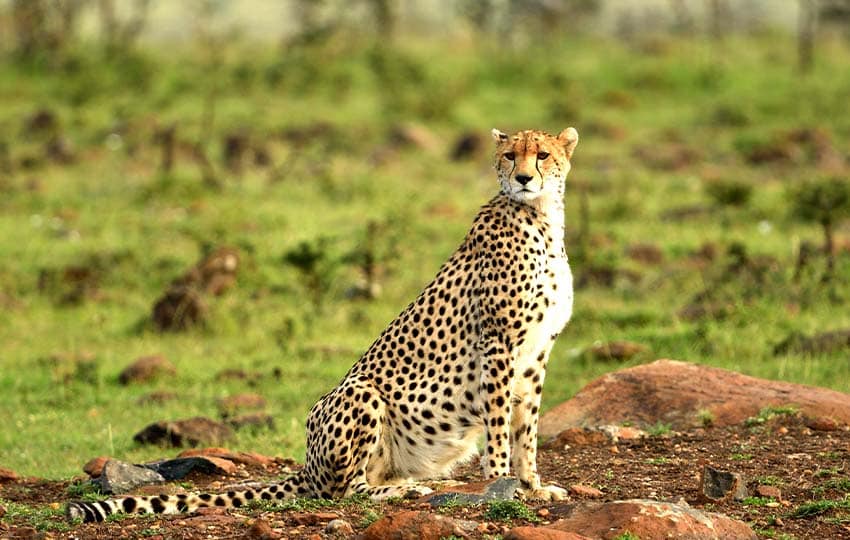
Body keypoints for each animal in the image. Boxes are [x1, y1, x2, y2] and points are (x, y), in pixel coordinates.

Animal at [67, 127, 579, 523]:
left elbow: (526, 427)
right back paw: (403, 490)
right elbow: (499, 423)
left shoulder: (536, 352)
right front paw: (500, 481)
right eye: (511, 155)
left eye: (543, 154)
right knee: (343, 490)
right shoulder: (499, 343)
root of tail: (307, 465)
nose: (524, 178)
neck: (540, 219)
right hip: (360, 393)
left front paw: (532, 484)